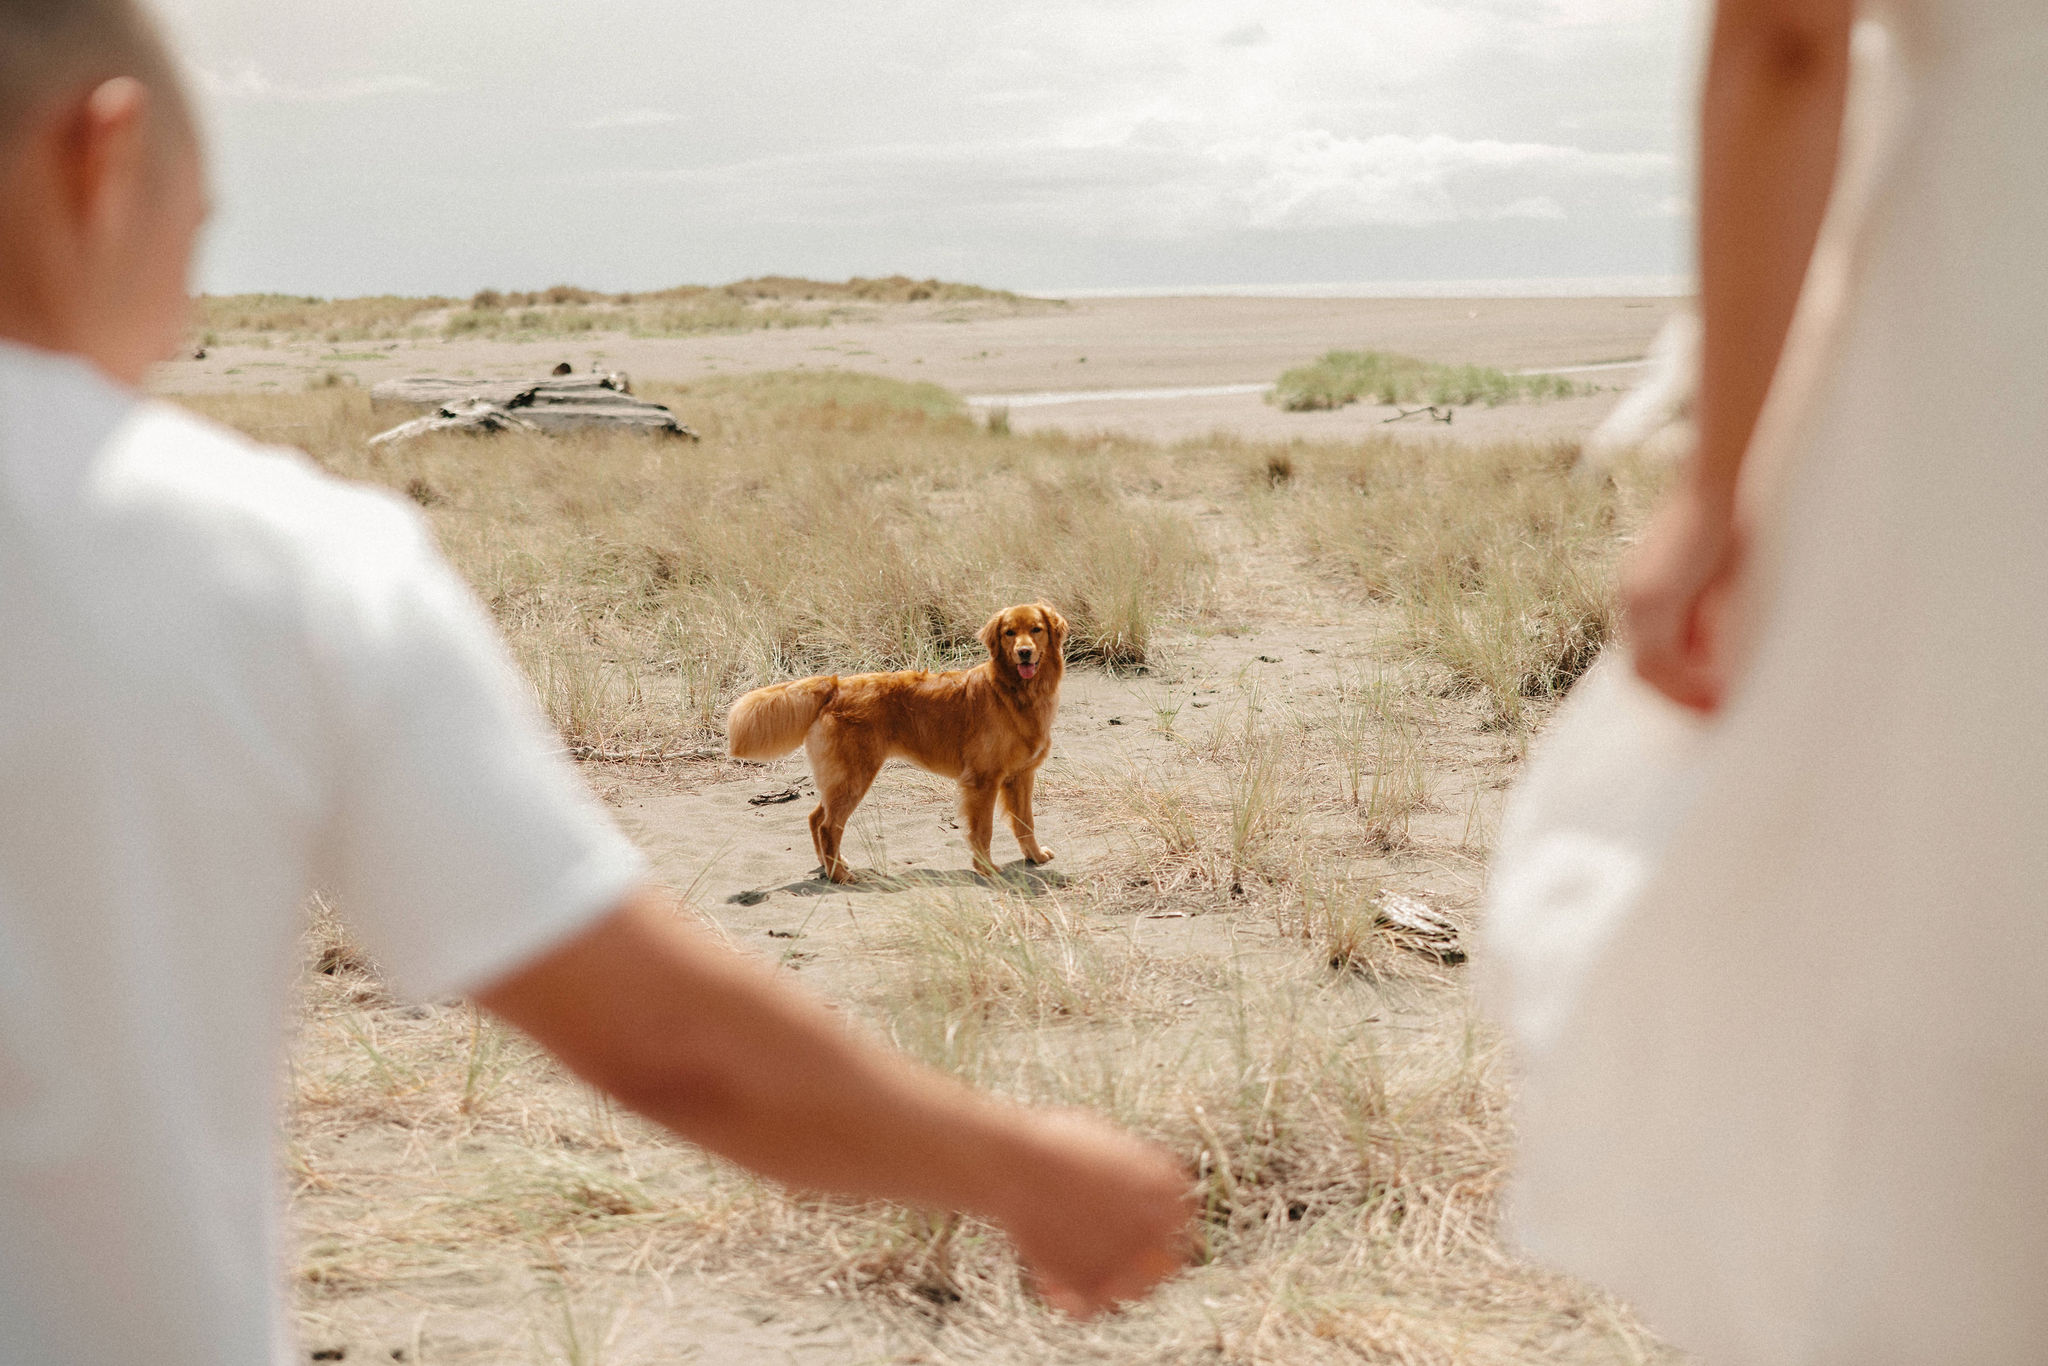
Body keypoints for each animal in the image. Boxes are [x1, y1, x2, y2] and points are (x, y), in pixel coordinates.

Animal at [724, 602, 1073, 880]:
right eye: (1009, 633)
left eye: (1036, 630)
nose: (1024, 653)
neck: (1013, 692)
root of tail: (835, 685)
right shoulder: (982, 781)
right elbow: (983, 831)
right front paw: (986, 869)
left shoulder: (1020, 777)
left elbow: (1026, 823)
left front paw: (1035, 856)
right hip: (854, 775)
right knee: (827, 825)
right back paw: (840, 876)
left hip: (841, 776)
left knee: (816, 818)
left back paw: (831, 865)